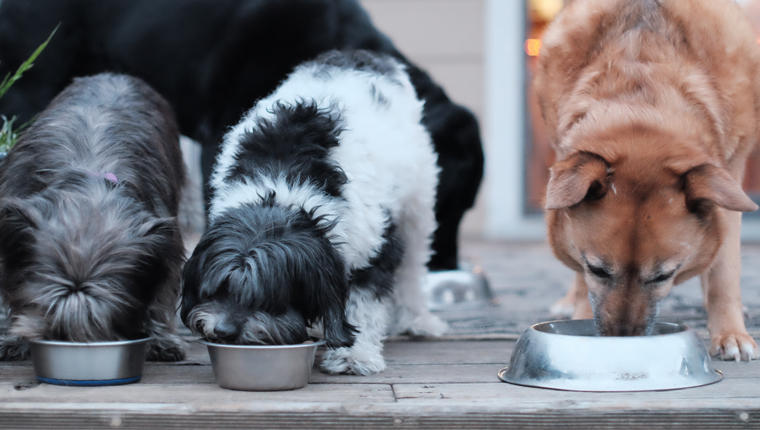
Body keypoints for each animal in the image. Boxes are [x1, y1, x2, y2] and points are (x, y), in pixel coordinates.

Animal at [0, 73, 187, 360]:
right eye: (42, 304)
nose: (60, 336)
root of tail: (115, 74)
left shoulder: (165, 244)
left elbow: (162, 293)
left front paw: (160, 339)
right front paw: (14, 339)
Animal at [181, 49, 448, 372]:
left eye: (267, 298)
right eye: (217, 289)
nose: (224, 331)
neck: (282, 188)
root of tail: (362, 55)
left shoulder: (374, 243)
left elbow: (363, 302)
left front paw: (354, 354)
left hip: (417, 208)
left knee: (413, 267)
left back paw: (418, 318)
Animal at [536, 0, 760, 362]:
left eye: (663, 276)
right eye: (598, 270)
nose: (622, 341)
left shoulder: (729, 177)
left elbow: (724, 270)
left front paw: (731, 333)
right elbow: (580, 274)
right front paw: (580, 313)